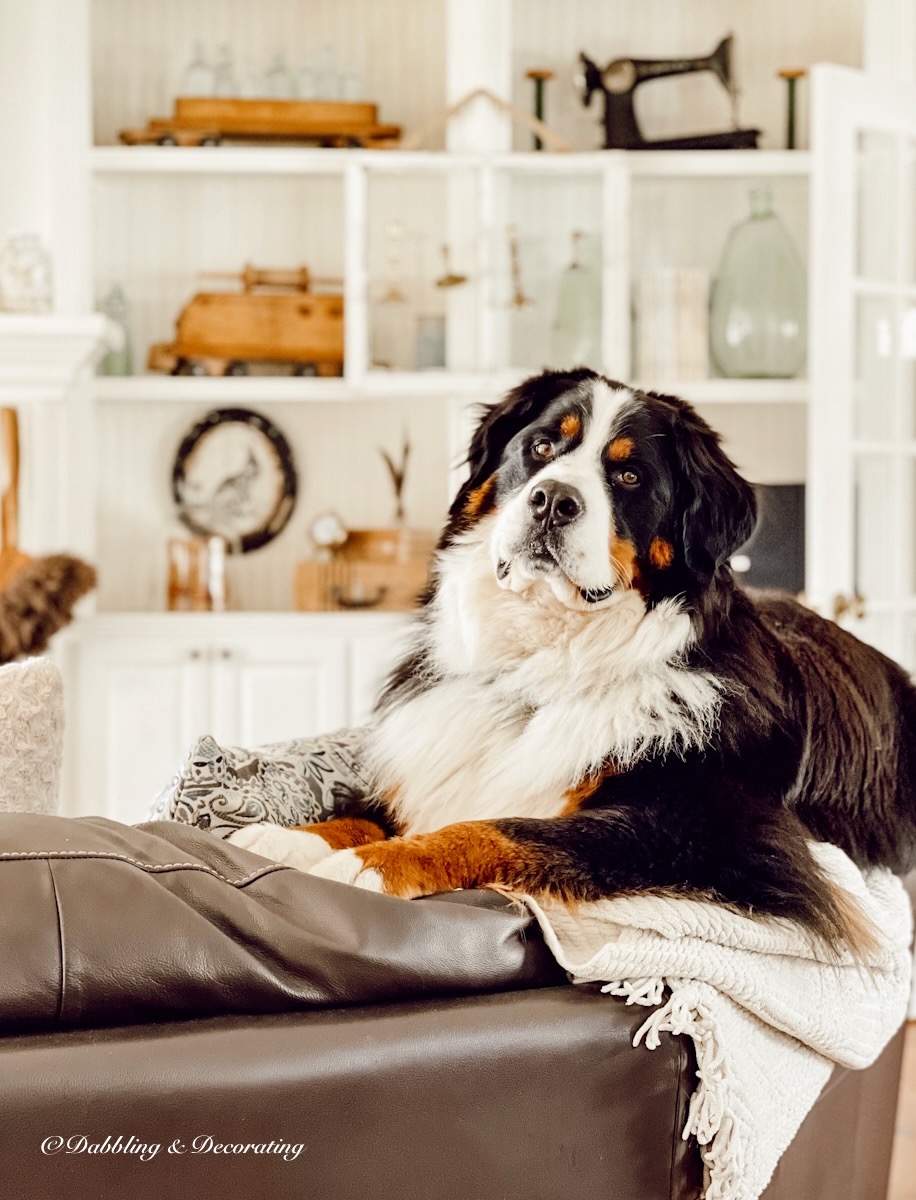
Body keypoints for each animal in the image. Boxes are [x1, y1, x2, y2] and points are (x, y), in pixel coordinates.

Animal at [232, 369, 916, 950]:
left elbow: (501, 826)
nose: (553, 500)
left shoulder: (705, 832)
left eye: (630, 477)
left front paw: (372, 863)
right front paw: (289, 839)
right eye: (541, 447)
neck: (544, 667)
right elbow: (364, 812)